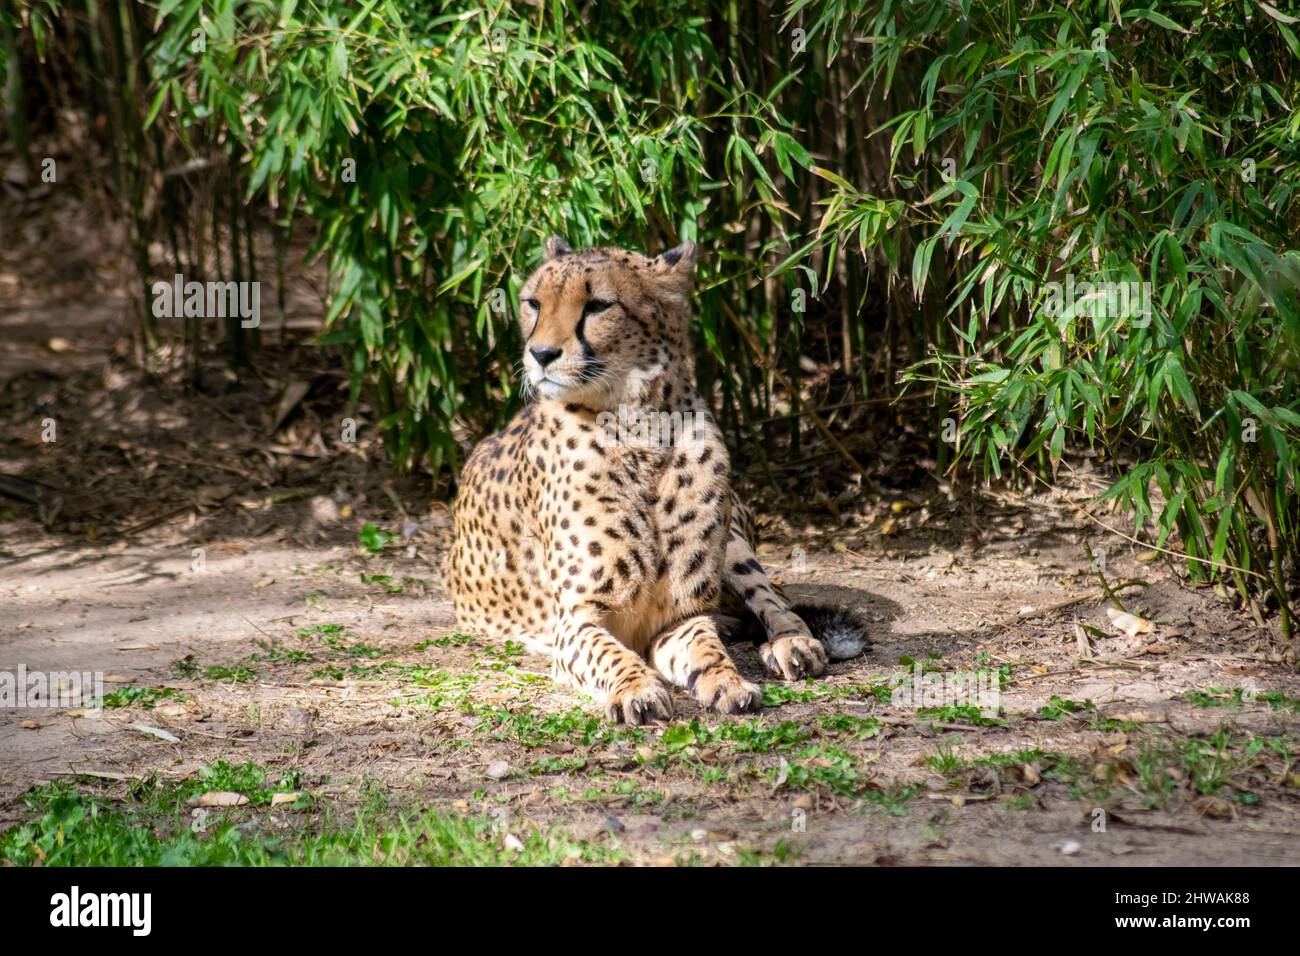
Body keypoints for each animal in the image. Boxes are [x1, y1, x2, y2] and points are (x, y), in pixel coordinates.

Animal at [444, 235, 863, 723]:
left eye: (598, 305)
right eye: (533, 304)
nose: (541, 355)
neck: (637, 429)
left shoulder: (678, 616)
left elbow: (707, 648)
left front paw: (727, 680)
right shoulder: (576, 622)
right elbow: (610, 653)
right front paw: (637, 688)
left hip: (736, 546)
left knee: (774, 599)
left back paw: (791, 643)